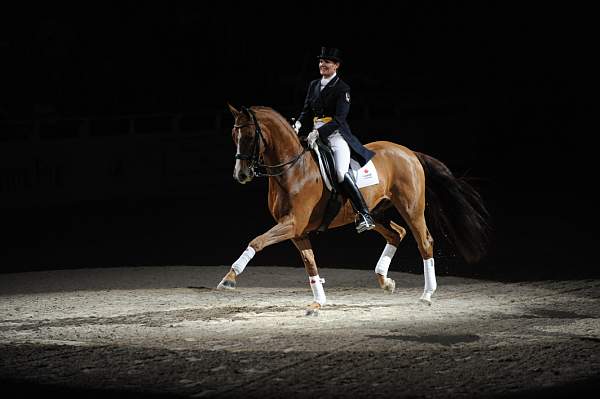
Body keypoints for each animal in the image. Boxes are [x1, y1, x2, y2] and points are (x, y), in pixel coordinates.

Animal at [218, 104, 490, 314]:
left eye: (250, 136)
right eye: (233, 136)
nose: (241, 175)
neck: (292, 169)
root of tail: (408, 152)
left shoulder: (292, 223)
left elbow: (257, 241)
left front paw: (229, 278)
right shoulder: (297, 231)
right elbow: (310, 263)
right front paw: (318, 302)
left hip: (411, 208)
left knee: (424, 241)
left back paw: (426, 294)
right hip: (375, 211)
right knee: (397, 233)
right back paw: (385, 281)